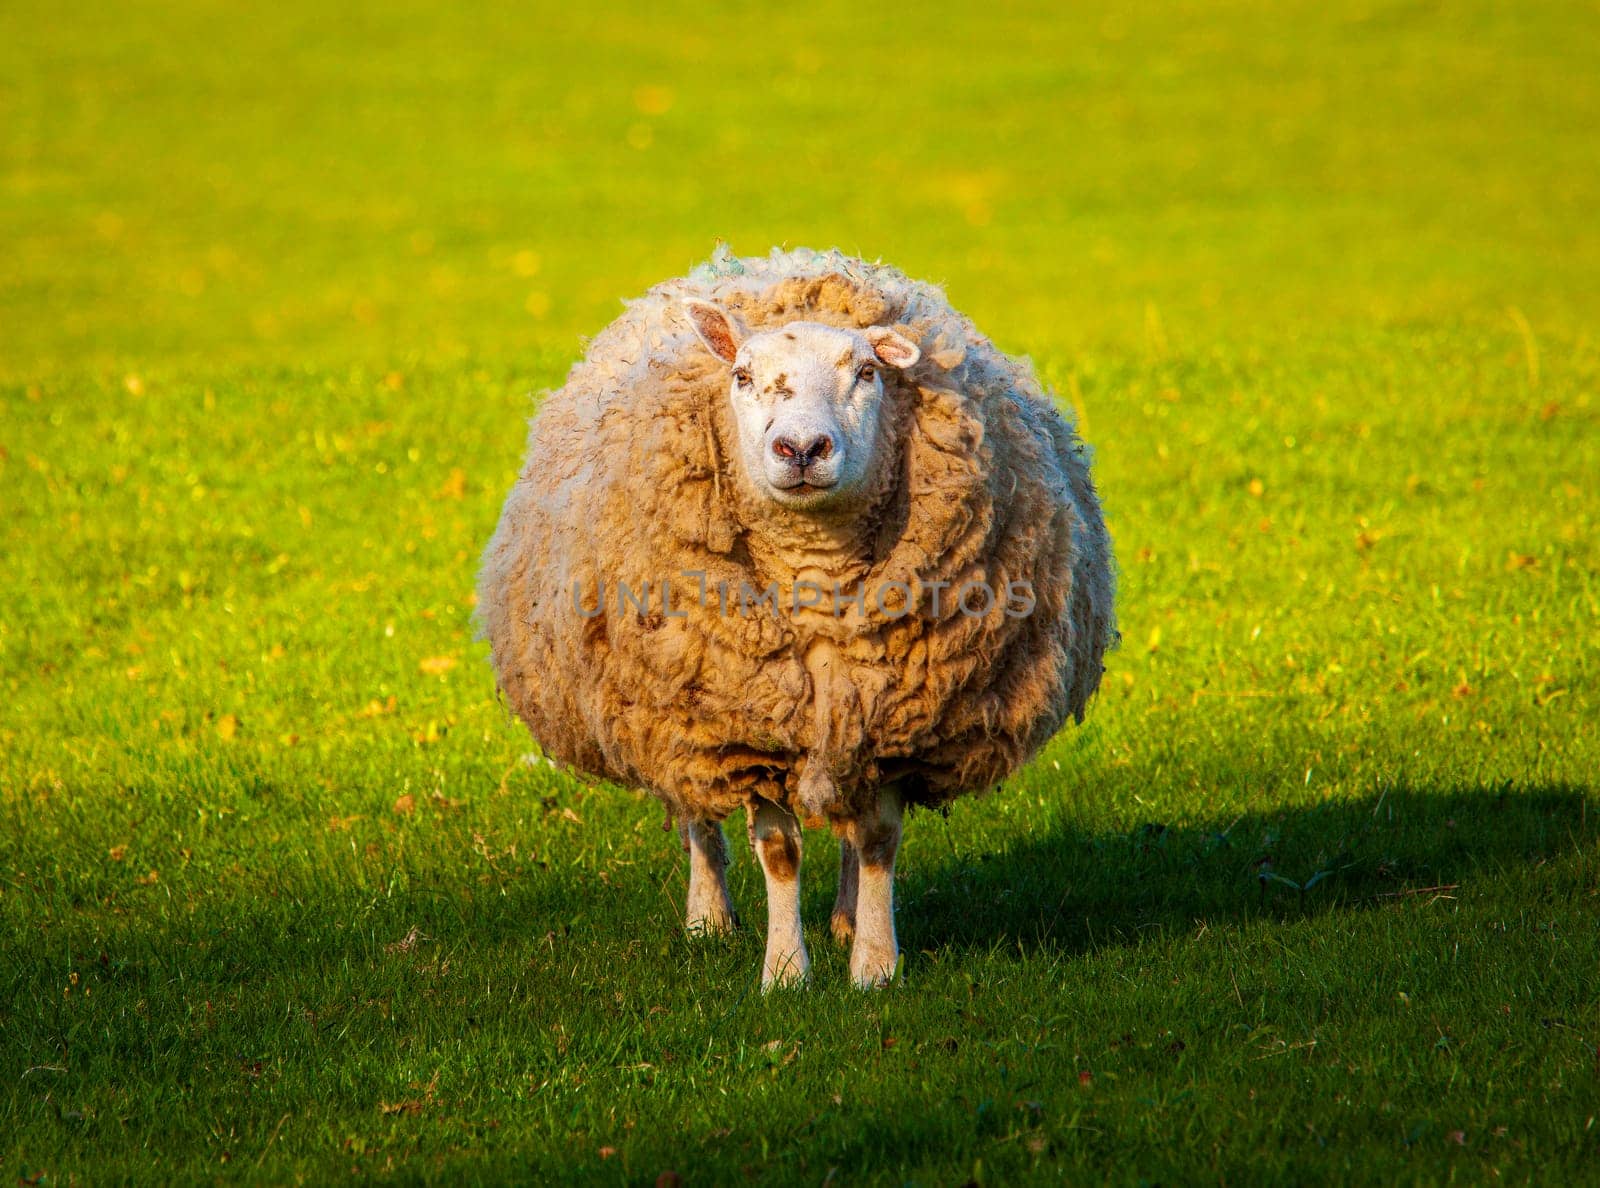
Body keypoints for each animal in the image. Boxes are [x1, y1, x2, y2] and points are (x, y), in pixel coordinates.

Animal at [480, 246, 1120, 992]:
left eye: (867, 372)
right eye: (743, 376)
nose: (803, 448)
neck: (816, 577)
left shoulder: (891, 718)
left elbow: (877, 840)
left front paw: (874, 963)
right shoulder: (746, 727)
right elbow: (780, 851)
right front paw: (785, 972)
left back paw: (844, 916)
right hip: (675, 700)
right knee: (697, 809)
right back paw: (708, 917)